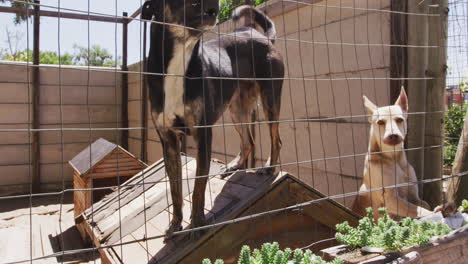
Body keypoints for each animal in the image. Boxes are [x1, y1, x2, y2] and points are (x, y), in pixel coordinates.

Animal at [141, 0, 284, 240]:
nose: (215, 4)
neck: (180, 61)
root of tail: (258, 34)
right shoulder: (168, 140)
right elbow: (175, 189)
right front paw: (175, 224)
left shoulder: (203, 134)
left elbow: (199, 186)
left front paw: (198, 223)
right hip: (237, 110)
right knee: (249, 141)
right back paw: (236, 165)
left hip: (269, 100)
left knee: (276, 139)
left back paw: (269, 167)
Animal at [352, 88, 434, 219]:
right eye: (380, 122)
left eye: (399, 120)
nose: (393, 135)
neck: (393, 158)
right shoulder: (391, 199)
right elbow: (423, 211)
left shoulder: (414, 197)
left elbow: (425, 205)